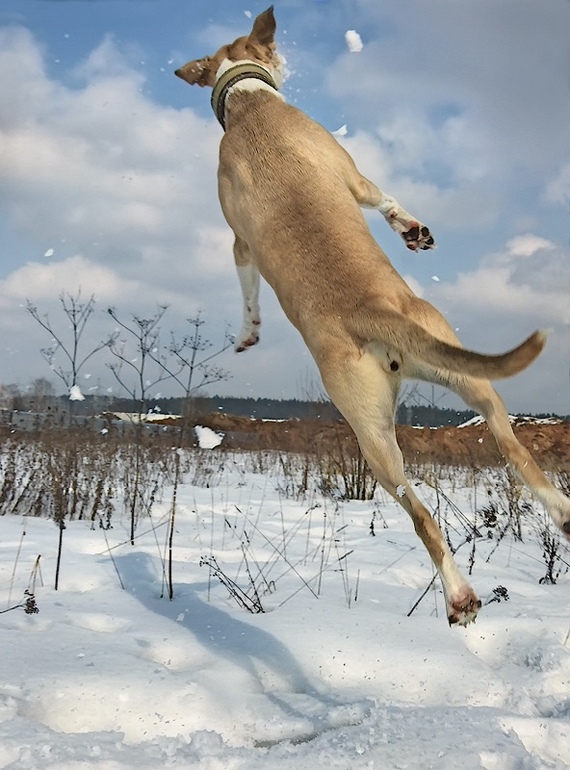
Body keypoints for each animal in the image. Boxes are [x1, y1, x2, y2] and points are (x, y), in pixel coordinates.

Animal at [175, 7, 564, 624]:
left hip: (432, 396)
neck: (248, 104)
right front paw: (414, 232)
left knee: (507, 455)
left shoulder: (243, 238)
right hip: (395, 423)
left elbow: (252, 283)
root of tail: (376, 314)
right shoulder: (346, 179)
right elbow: (381, 200)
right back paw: (462, 594)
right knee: (443, 500)